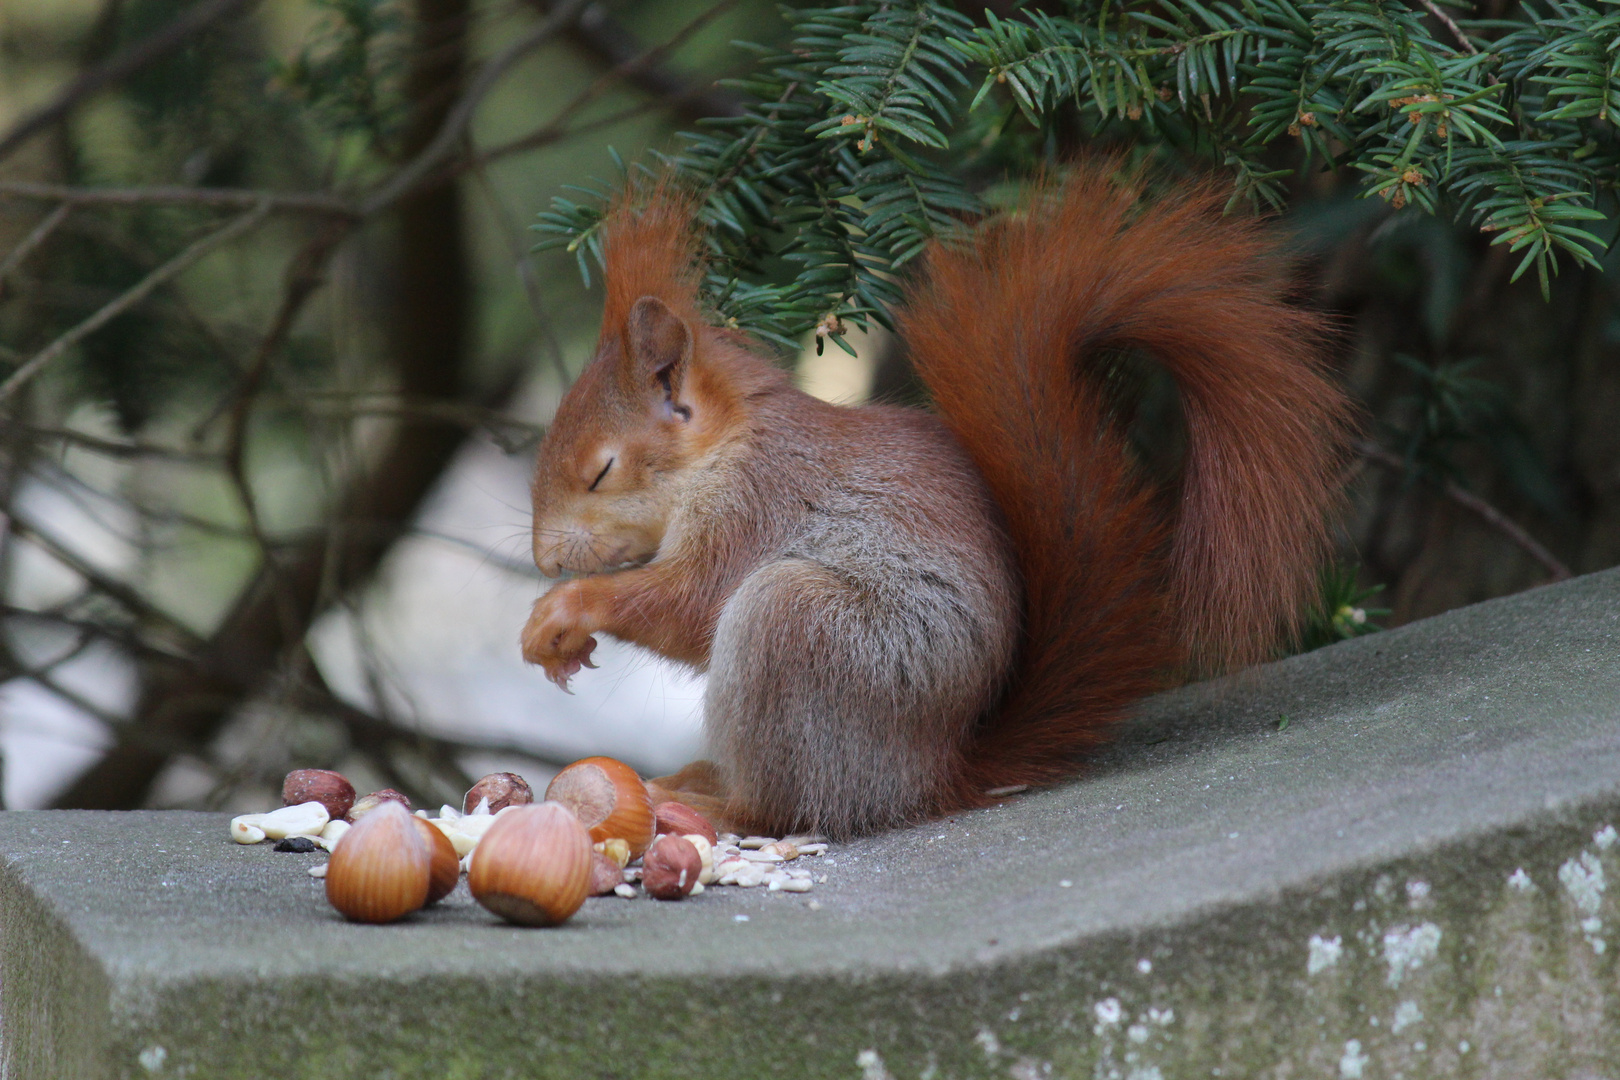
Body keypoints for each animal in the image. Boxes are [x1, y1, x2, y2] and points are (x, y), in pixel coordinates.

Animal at [521, 165, 1354, 841]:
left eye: (600, 472)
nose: (543, 558)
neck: (726, 450)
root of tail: (932, 773)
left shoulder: (759, 505)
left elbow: (692, 606)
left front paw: (566, 612)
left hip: (799, 629)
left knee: (788, 806)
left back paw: (714, 805)